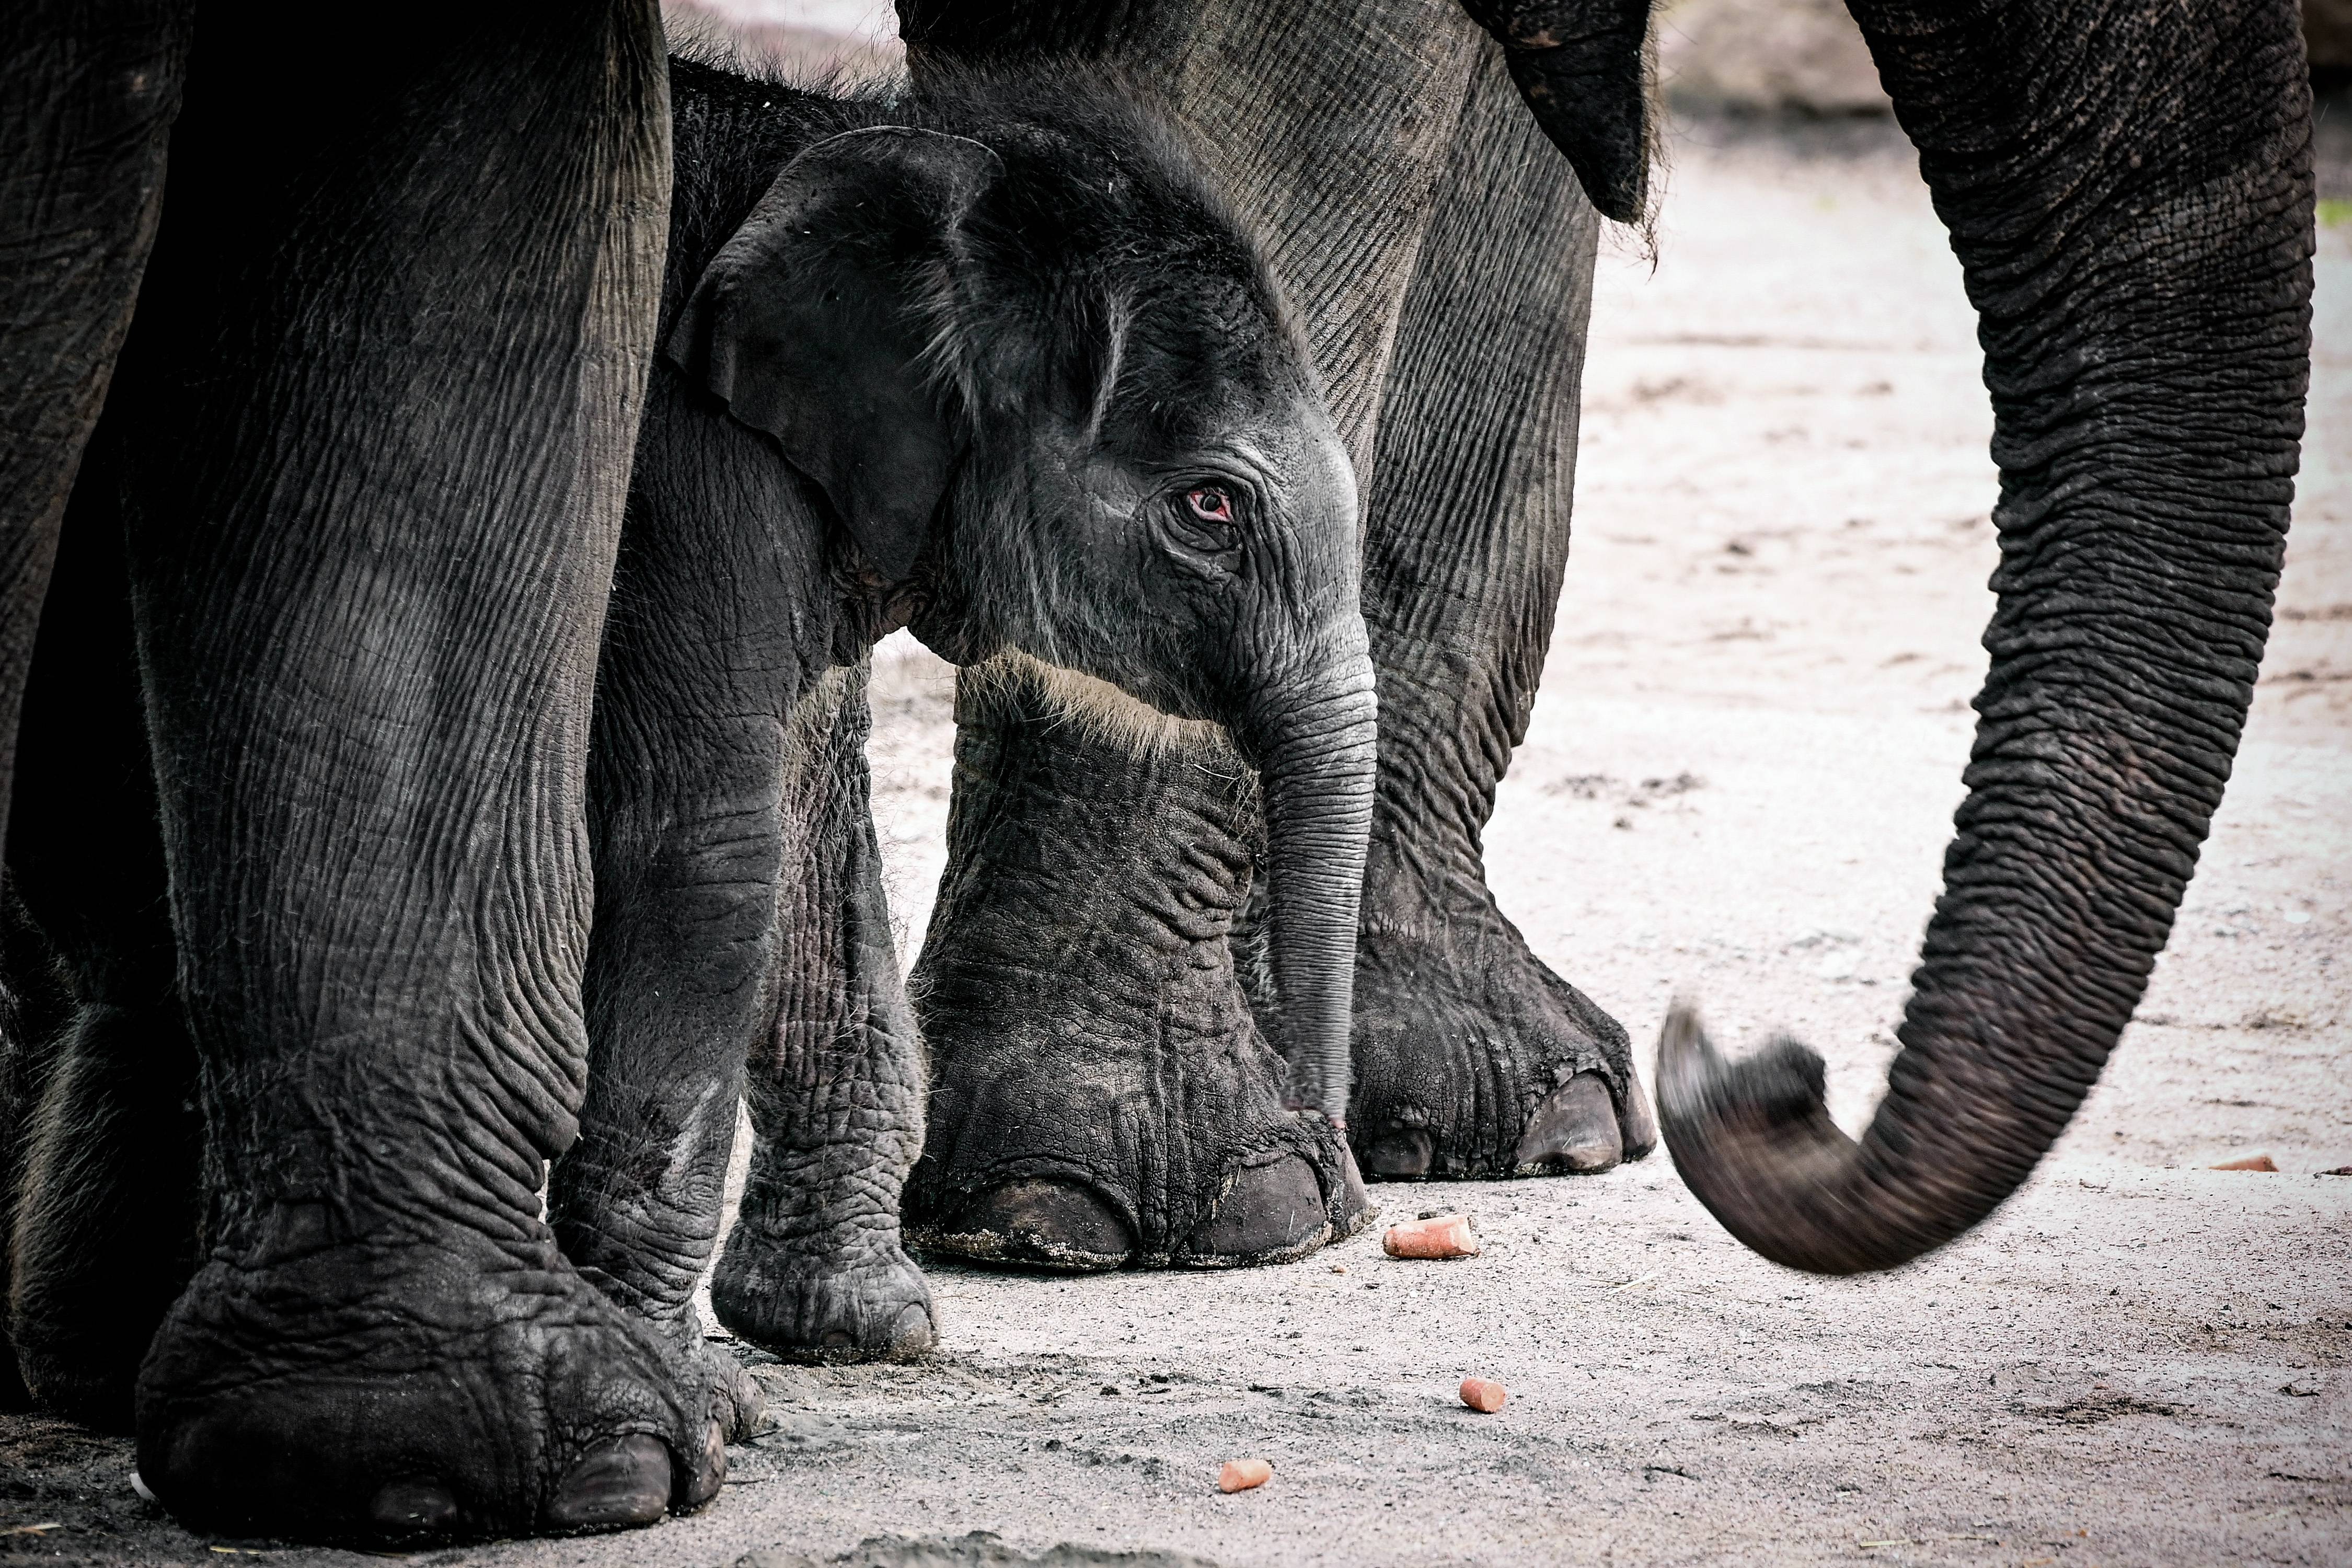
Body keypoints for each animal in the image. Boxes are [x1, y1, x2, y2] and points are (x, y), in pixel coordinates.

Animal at [538, 52, 1374, 1382]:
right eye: (1207, 506)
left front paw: (867, 1330)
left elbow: (808, 837)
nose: (1341, 1203)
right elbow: (714, 840)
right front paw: (664, 1383)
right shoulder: (692, 474)